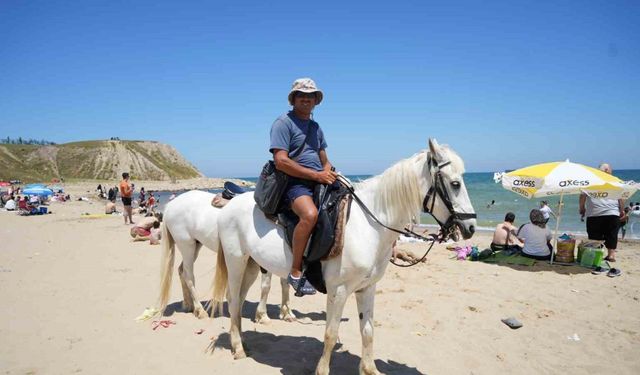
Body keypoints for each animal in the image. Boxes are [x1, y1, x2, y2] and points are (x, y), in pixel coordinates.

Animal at [156, 191, 296, 324]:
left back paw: (189, 305)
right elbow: (266, 286)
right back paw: (200, 310)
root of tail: (170, 205)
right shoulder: (263, 261)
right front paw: (262, 316)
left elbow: (285, 284)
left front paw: (287, 313)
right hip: (186, 246)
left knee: (181, 270)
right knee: (188, 275)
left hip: (196, 245)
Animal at [212, 140, 478, 374]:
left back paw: (242, 341)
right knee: (233, 299)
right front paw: (322, 370)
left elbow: (368, 331)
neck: (369, 224)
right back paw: (238, 348)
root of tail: (229, 205)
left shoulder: (367, 288)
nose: (471, 227)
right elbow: (330, 334)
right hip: (236, 261)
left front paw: (370, 370)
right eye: (455, 183)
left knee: (239, 301)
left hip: (251, 264)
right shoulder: (338, 291)